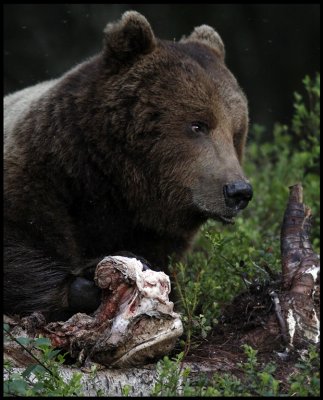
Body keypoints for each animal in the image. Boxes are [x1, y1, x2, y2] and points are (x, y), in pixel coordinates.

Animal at [3, 10, 254, 322]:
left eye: (236, 133)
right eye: (198, 124)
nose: (238, 191)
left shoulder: (154, 231)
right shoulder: (37, 177)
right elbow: (19, 249)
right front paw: (87, 279)